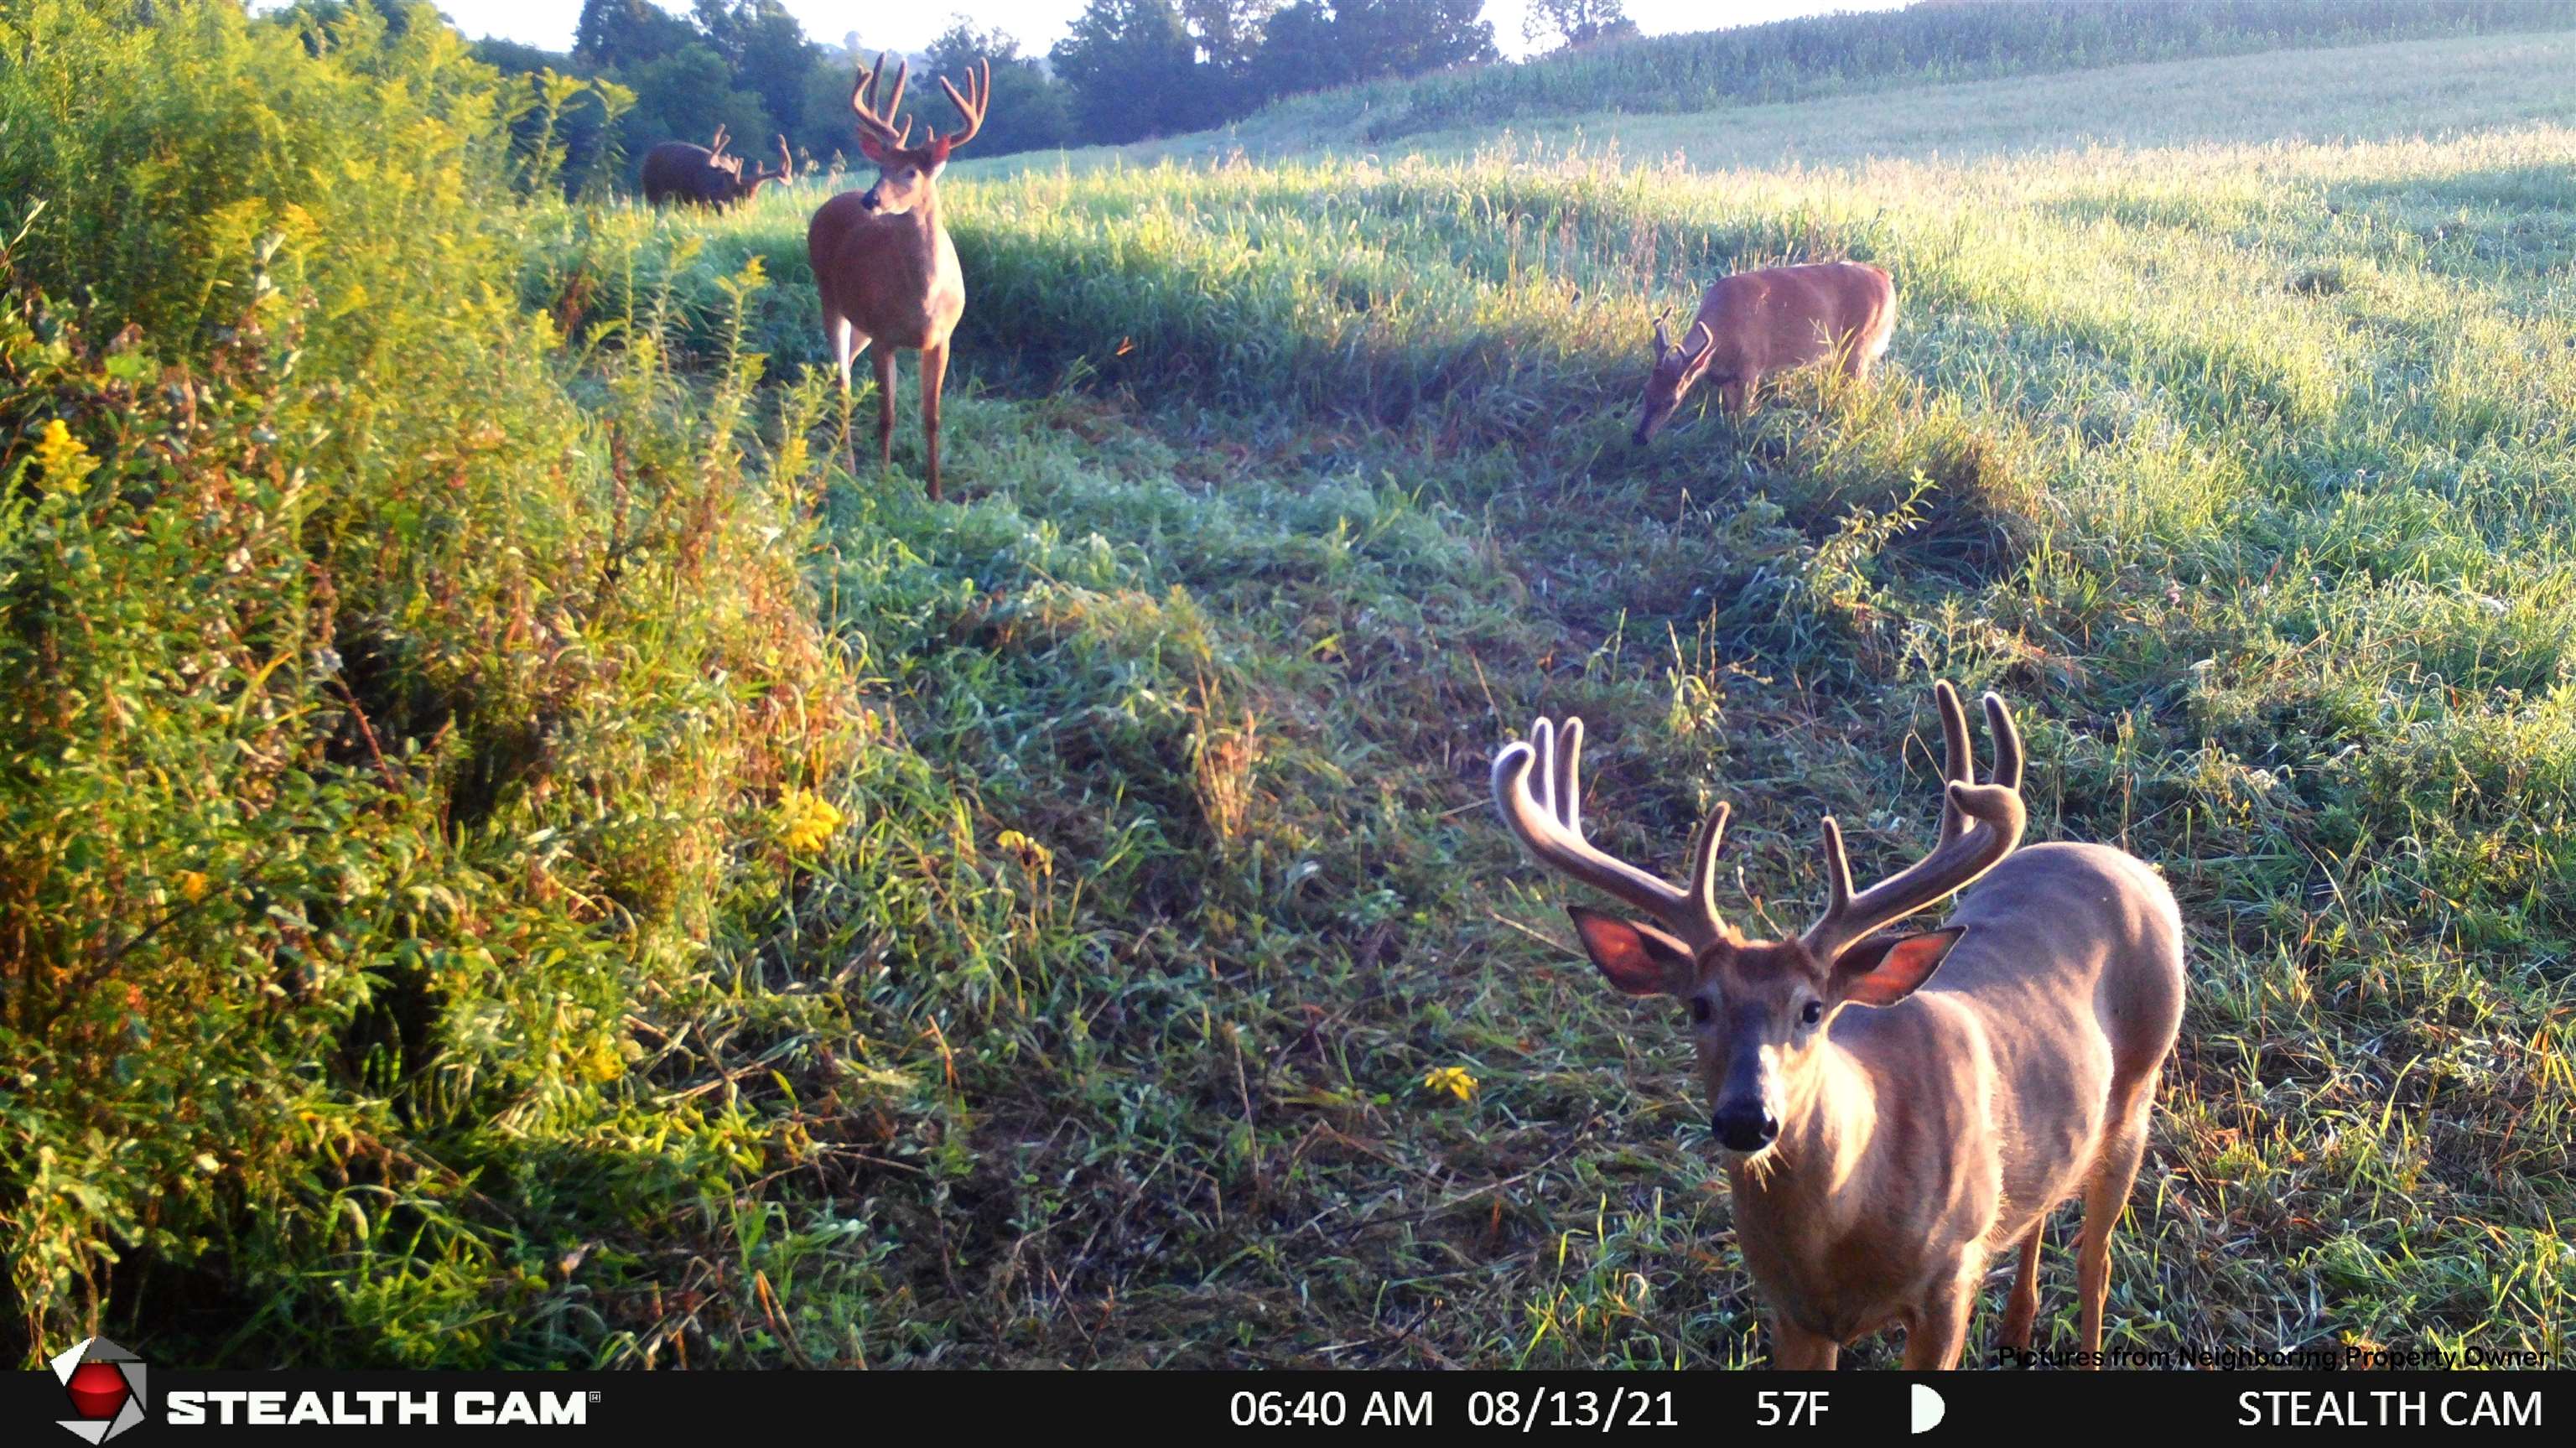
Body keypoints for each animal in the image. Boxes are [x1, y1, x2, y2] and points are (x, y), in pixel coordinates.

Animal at [640, 127, 794, 210]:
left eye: (754, 195)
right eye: (737, 194)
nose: (746, 209)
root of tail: (649, 155)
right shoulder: (704, 200)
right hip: (653, 191)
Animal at [806, 53, 992, 502]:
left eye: (910, 172)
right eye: (880, 165)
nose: (870, 199)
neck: (922, 300)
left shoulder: (942, 339)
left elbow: (932, 417)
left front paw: (936, 492)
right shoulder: (885, 337)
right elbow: (887, 415)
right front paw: (886, 483)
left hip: (861, 325)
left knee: (847, 369)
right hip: (830, 299)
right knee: (842, 380)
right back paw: (850, 468)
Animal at [1490, 683, 2184, 1369]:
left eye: (1812, 1008)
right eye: (1700, 1005)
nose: (1747, 1117)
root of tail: (2129, 865)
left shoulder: (1949, 1280)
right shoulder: (1792, 1311)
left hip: (2138, 1091)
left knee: (2096, 1259)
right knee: (2042, 1202)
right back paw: (2015, 1327)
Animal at [1633, 260, 1896, 445]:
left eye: (1672, 400)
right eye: (1645, 390)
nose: (1639, 438)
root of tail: (1886, 278)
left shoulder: (1752, 366)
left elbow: (1742, 416)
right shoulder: (1727, 377)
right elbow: (1729, 414)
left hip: (1859, 344)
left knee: (1859, 391)